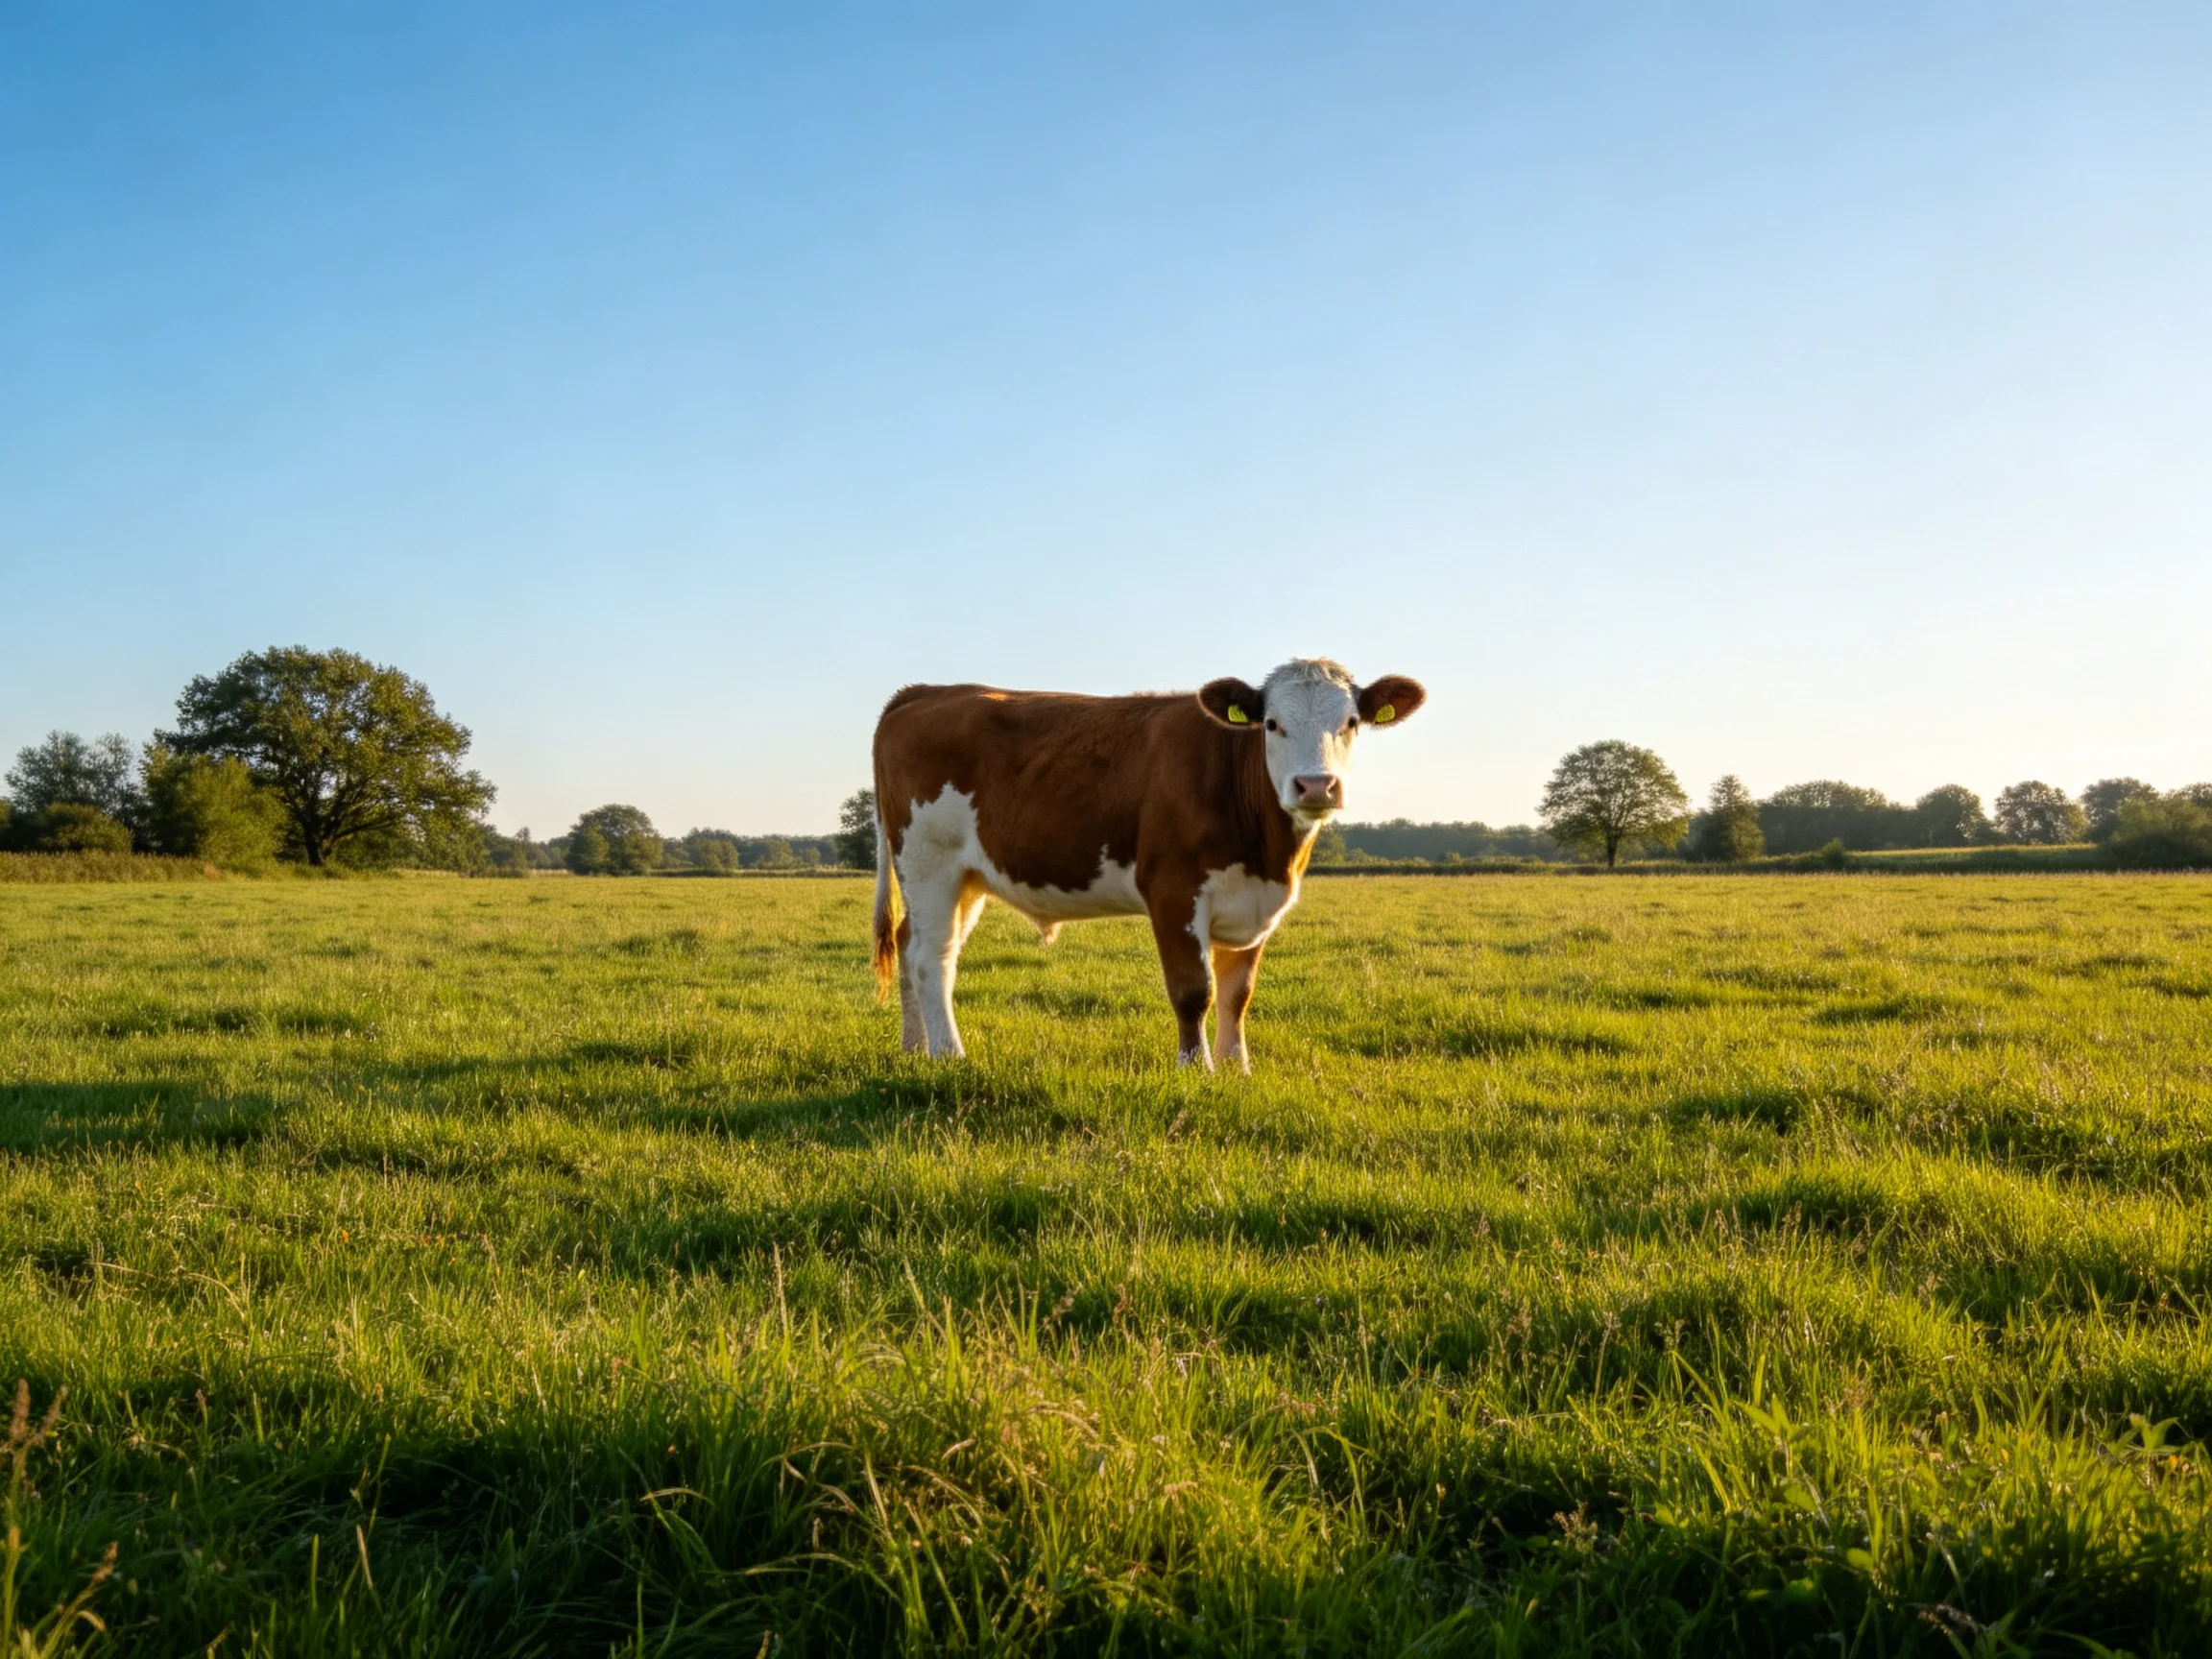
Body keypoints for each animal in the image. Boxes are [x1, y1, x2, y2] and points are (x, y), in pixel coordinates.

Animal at [870, 658, 1426, 1069]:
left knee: (912, 945)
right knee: (932, 957)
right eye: (1272, 724)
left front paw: (1236, 1069)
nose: (1315, 786)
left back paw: (914, 1048)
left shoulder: (1256, 903)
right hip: (929, 862)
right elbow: (1194, 991)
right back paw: (948, 1055)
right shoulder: (1173, 890)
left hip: (966, 878)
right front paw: (1196, 1069)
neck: (1267, 855)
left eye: (1350, 723)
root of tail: (926, 692)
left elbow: (1238, 994)